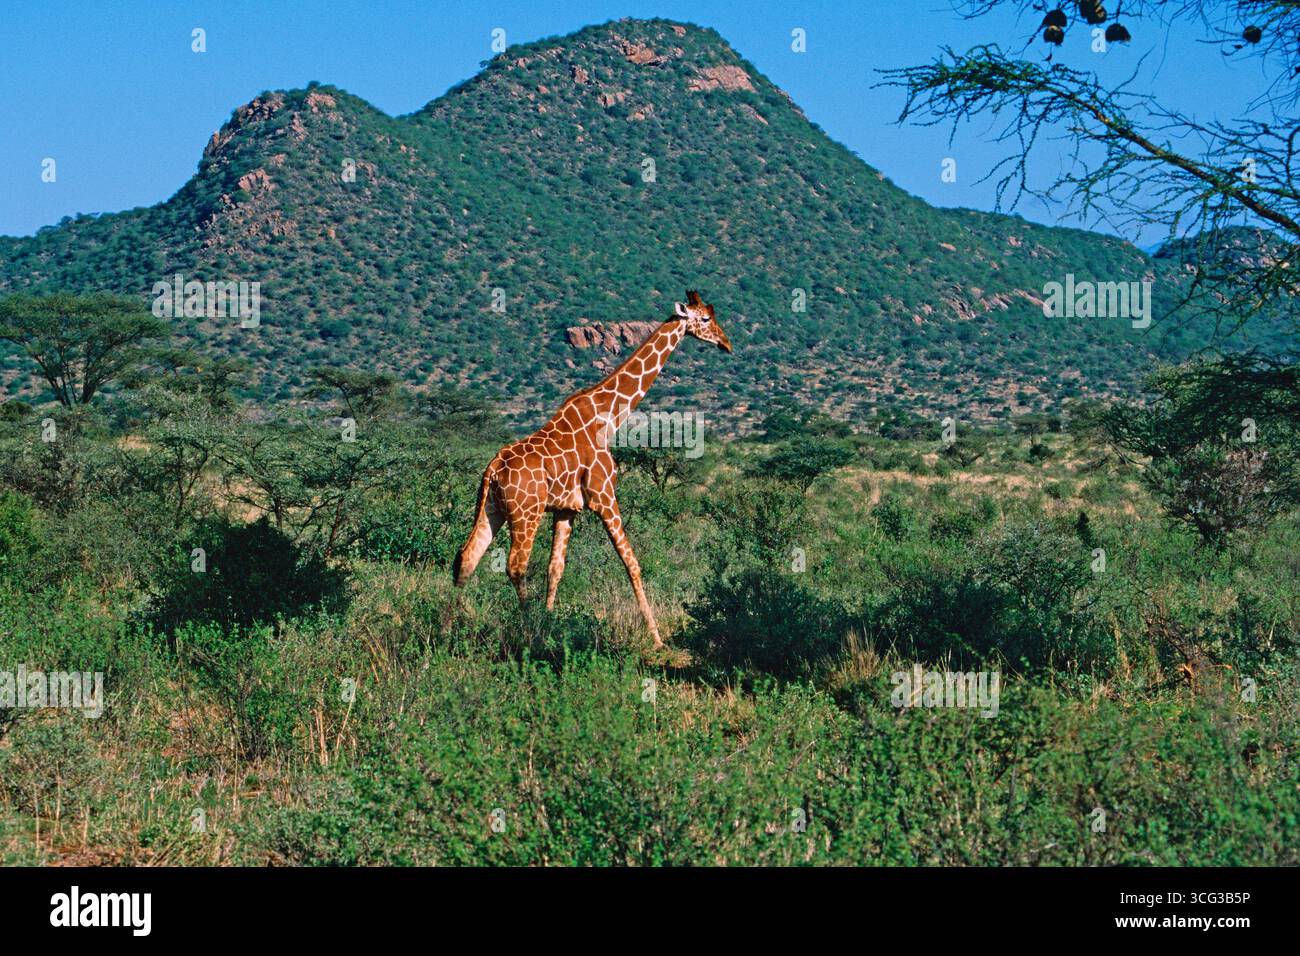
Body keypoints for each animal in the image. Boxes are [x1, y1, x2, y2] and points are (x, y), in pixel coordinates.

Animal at [452, 290, 732, 646]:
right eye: (706, 318)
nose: (726, 343)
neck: (608, 417)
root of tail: (493, 469)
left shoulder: (566, 508)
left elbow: (555, 569)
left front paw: (550, 623)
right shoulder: (604, 496)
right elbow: (632, 564)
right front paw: (656, 638)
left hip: (493, 508)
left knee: (467, 557)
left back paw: (449, 627)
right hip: (525, 512)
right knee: (516, 565)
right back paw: (525, 630)